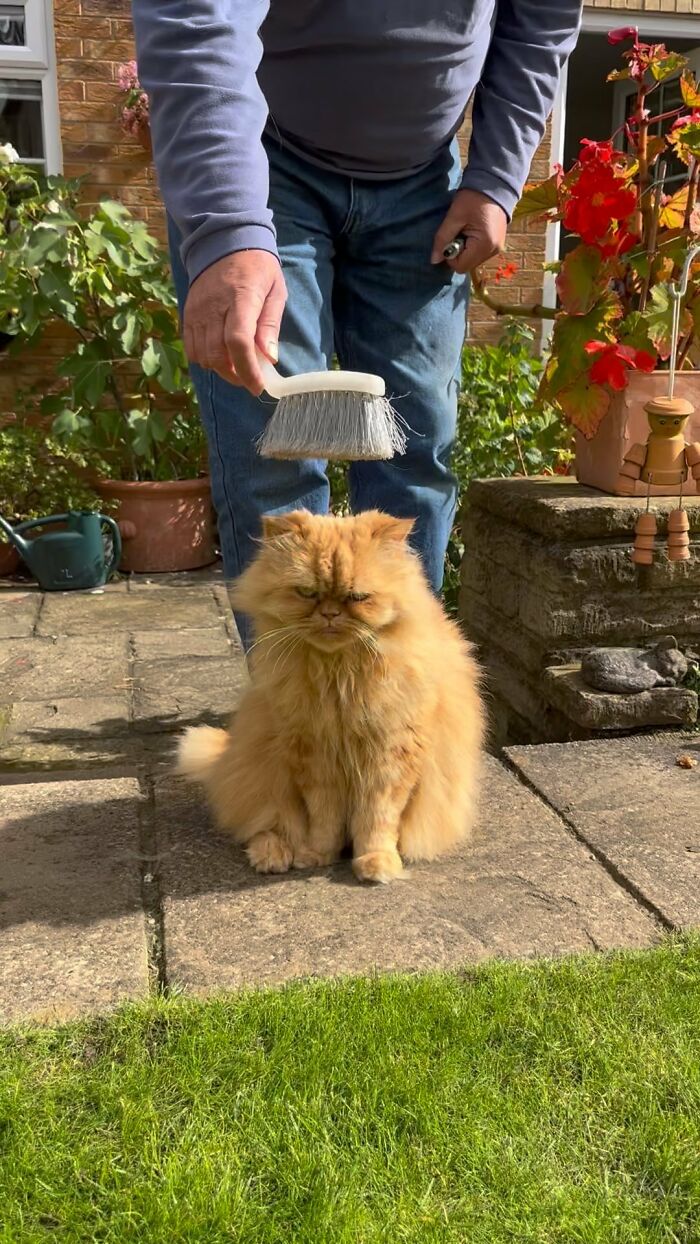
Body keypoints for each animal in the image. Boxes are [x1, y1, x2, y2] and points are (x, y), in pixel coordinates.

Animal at [177, 512, 484, 885]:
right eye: (308, 593)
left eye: (357, 597)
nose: (330, 614)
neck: (339, 675)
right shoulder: (314, 758)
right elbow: (324, 819)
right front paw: (316, 855)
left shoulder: (390, 758)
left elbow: (377, 820)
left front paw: (376, 862)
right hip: (265, 772)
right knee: (264, 826)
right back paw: (274, 856)